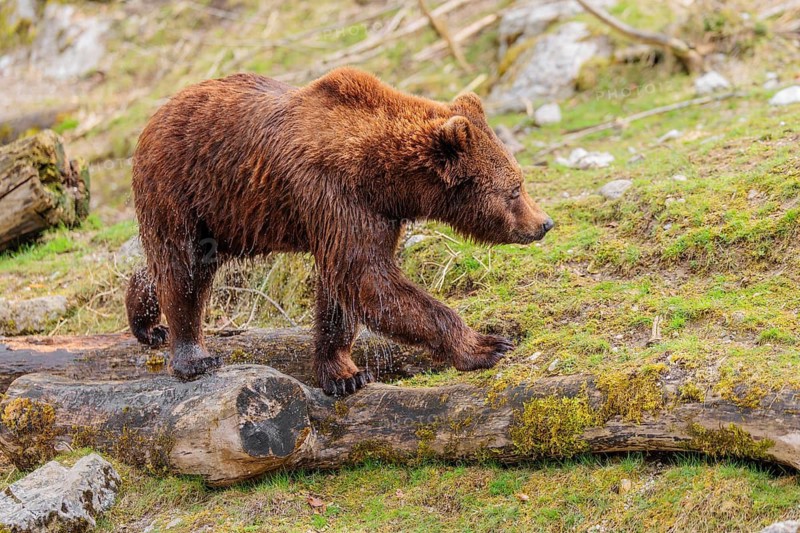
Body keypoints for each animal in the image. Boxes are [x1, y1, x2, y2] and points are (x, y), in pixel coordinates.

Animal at [125, 67, 554, 396]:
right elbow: (366, 278)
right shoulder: (333, 194)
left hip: (228, 215)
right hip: (184, 185)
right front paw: (488, 344)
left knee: (169, 265)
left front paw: (344, 373)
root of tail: (156, 114)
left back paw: (147, 323)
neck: (384, 177)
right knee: (184, 267)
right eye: (514, 189)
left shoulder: (372, 215)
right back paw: (193, 357)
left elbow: (342, 291)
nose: (543, 223)